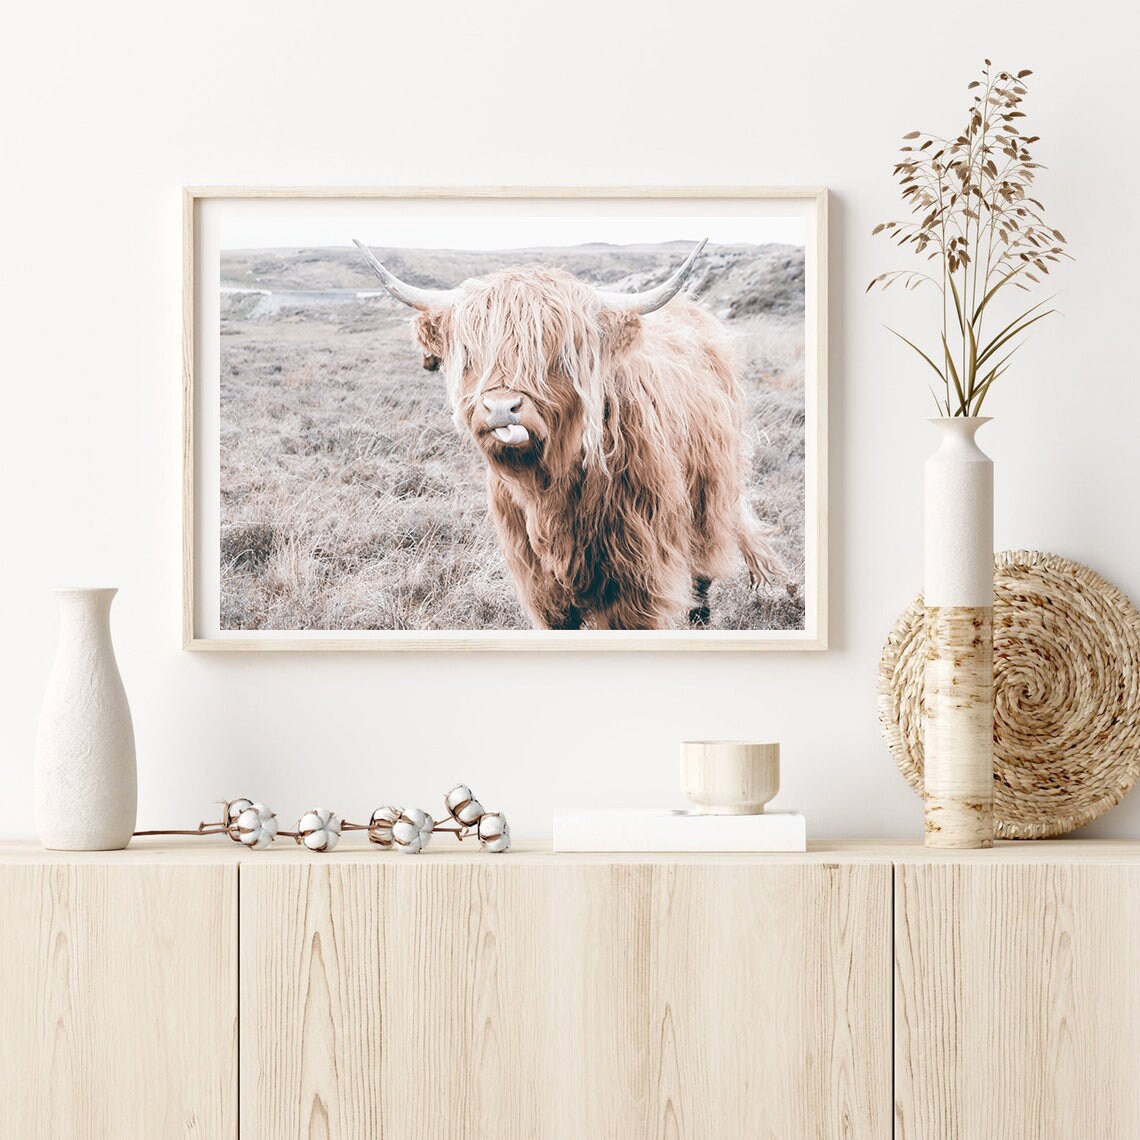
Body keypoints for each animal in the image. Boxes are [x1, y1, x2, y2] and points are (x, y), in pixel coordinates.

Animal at [354, 238, 789, 630]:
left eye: (557, 353)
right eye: (470, 354)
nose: (501, 408)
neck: (551, 489)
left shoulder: (637, 574)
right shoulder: (538, 581)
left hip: (709, 493)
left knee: (703, 563)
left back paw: (700, 615)